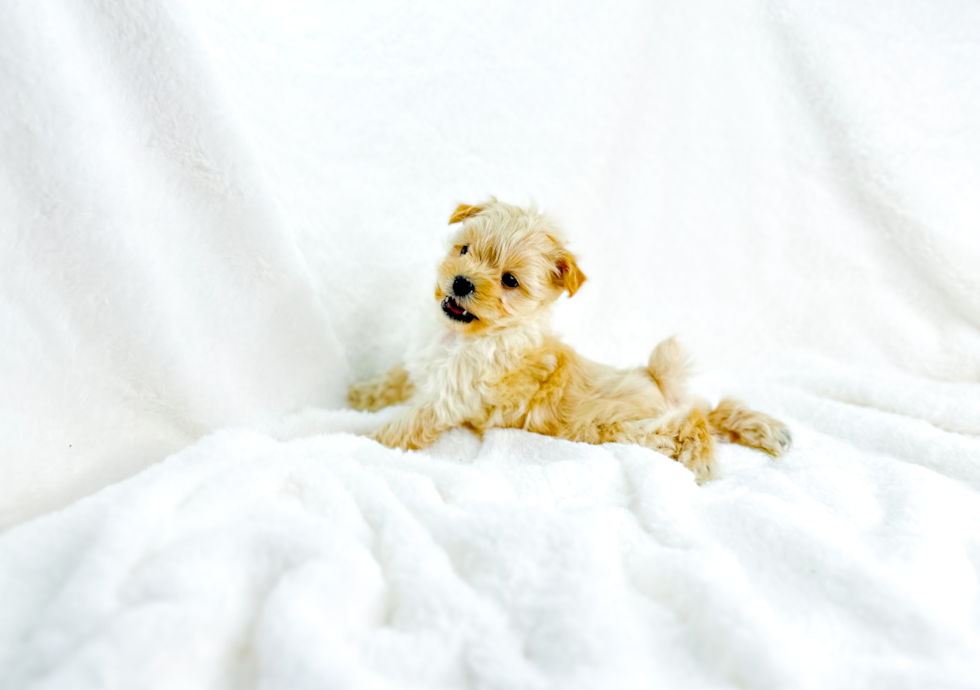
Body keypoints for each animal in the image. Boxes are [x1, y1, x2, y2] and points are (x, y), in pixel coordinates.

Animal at [348, 198, 792, 478]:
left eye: (509, 281)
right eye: (464, 249)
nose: (461, 282)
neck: (461, 338)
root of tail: (658, 380)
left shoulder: (445, 401)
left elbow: (398, 429)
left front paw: (353, 439)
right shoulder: (421, 367)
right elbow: (393, 381)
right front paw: (359, 395)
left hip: (630, 430)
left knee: (694, 421)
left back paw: (701, 460)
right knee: (714, 408)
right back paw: (768, 429)